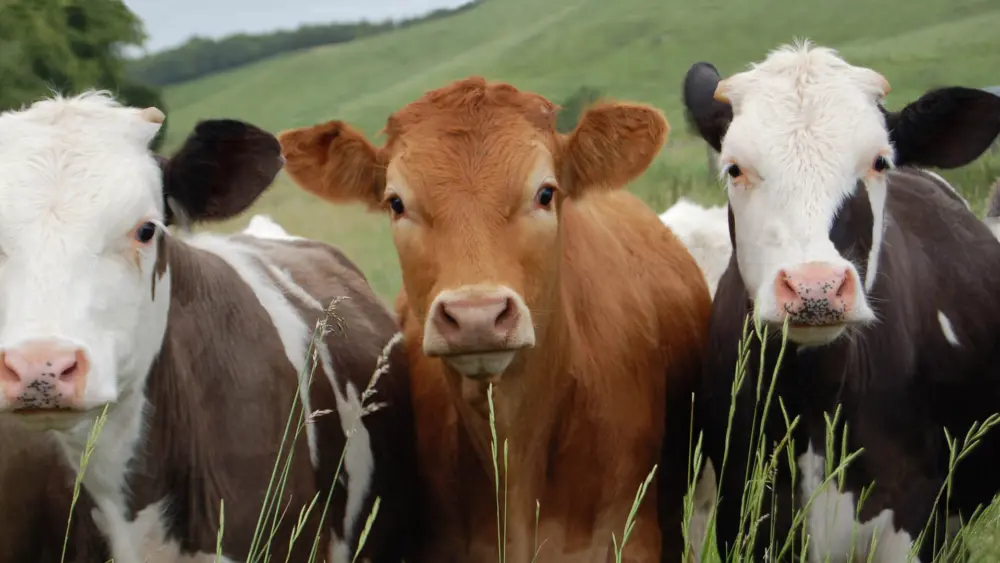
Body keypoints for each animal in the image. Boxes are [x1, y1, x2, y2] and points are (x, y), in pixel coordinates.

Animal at [682, 41, 1000, 562]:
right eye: (734, 167)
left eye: (879, 162)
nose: (816, 287)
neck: (816, 398)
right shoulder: (745, 511)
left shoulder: (911, 515)